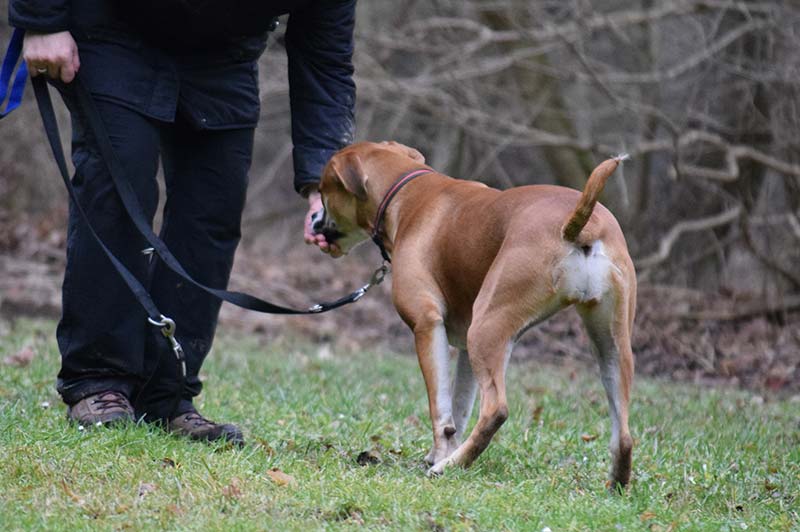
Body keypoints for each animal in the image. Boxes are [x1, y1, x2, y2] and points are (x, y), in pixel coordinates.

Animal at [312, 140, 636, 486]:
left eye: (323, 190)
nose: (315, 220)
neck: (405, 190)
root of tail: (581, 225)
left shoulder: (427, 326)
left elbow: (440, 408)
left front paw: (441, 457)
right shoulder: (467, 351)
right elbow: (458, 409)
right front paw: (442, 451)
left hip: (487, 327)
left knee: (496, 410)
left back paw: (451, 466)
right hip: (609, 347)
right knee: (624, 433)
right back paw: (616, 483)